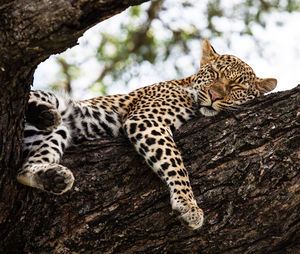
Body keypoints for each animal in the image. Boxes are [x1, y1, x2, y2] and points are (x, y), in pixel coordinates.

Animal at [17, 40, 278, 230]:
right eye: (214, 73)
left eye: (237, 87)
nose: (214, 96)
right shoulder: (146, 120)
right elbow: (176, 164)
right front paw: (188, 205)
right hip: (52, 101)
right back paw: (44, 114)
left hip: (59, 131)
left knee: (23, 171)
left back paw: (52, 175)